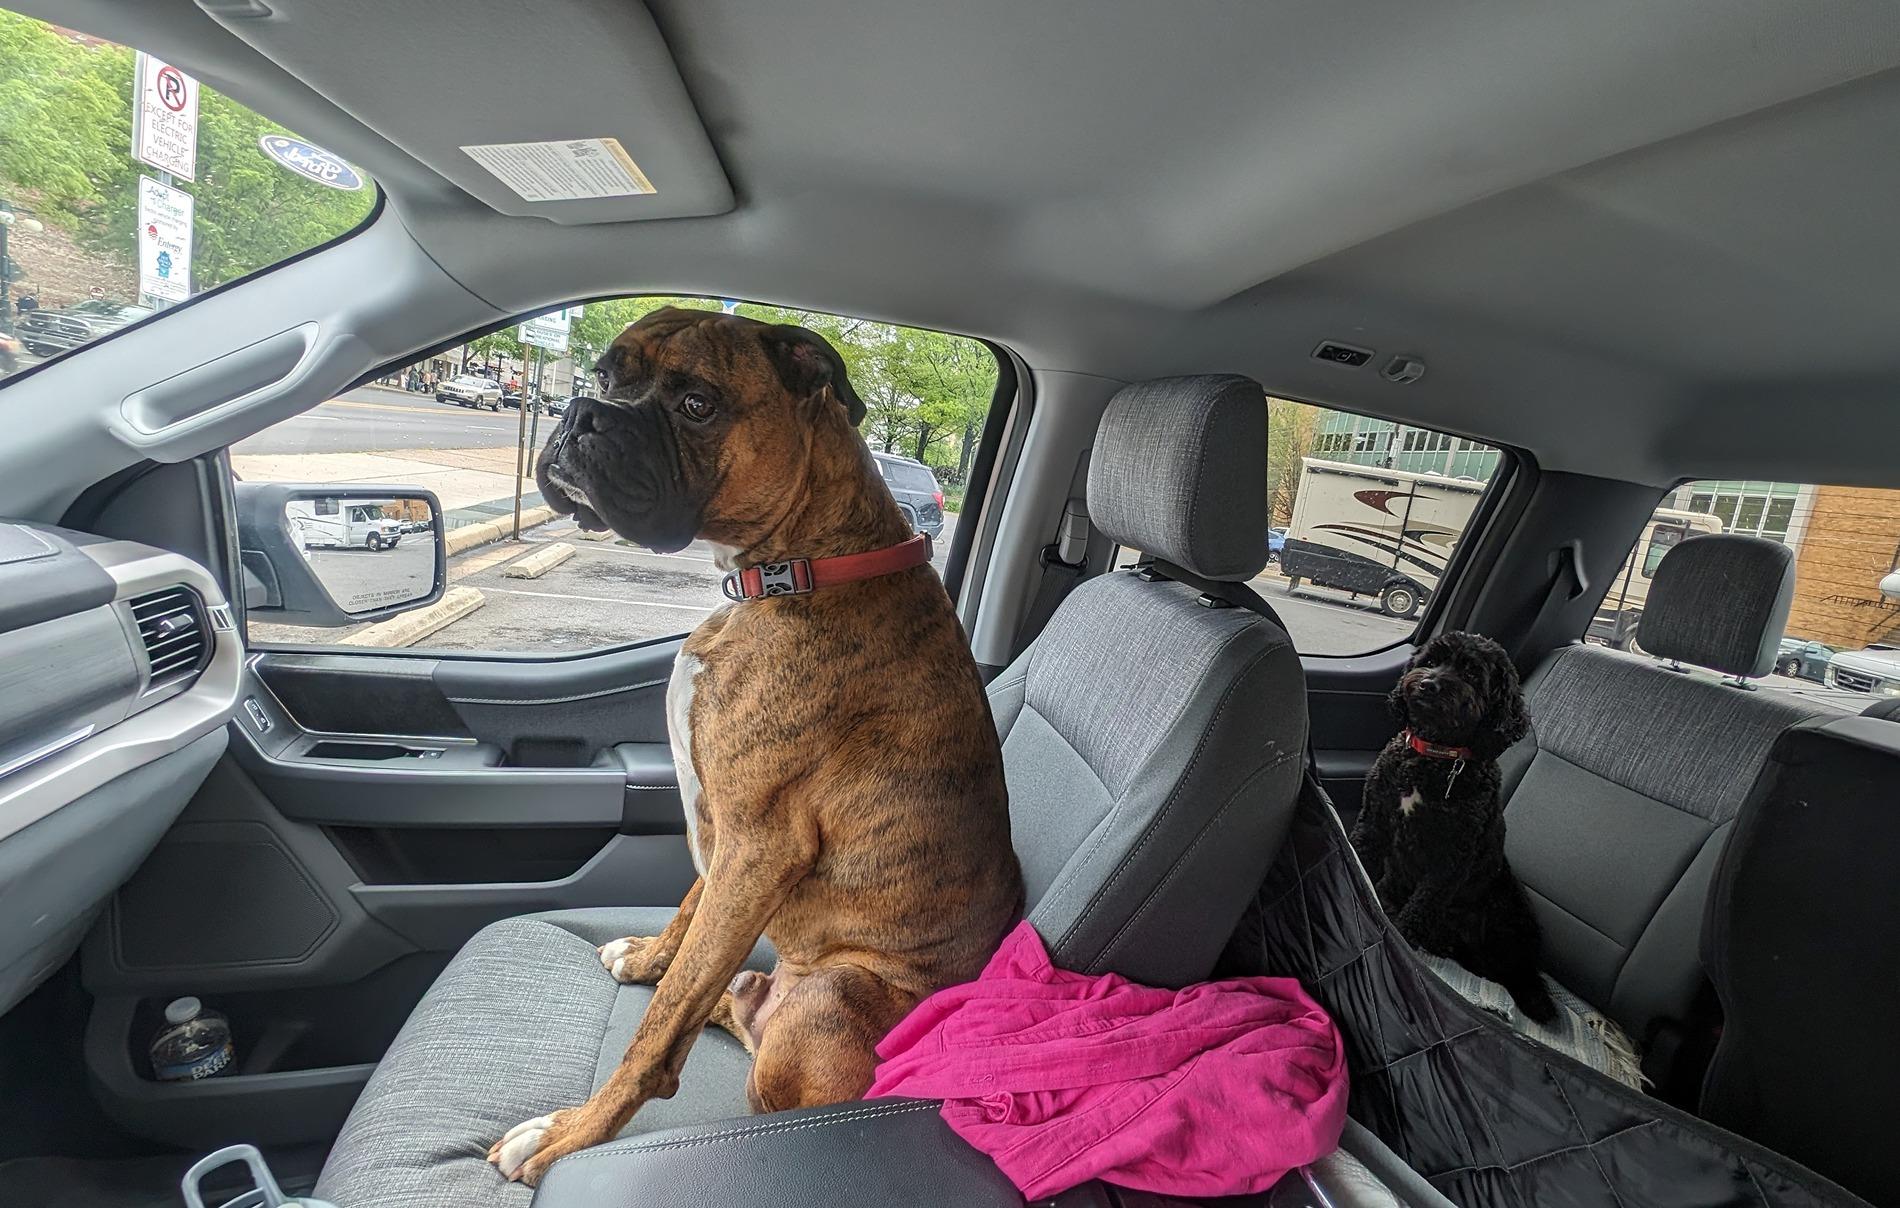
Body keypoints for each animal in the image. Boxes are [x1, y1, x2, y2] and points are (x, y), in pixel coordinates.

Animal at [490, 305, 1026, 1185]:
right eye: (605, 375)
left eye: (697, 404)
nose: (578, 413)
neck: (801, 566)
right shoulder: (724, 836)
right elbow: (688, 920)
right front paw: (650, 957)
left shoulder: (757, 844)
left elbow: (658, 1028)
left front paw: (571, 1135)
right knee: (733, 1007)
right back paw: (731, 998)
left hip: (831, 992)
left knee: (766, 1085)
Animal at [1345, 630, 1550, 1018]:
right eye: (1430, 661)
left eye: (1471, 674)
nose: (1428, 684)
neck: (1434, 757)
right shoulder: (1375, 818)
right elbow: (1361, 854)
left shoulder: (1451, 858)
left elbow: (1424, 903)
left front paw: (1402, 937)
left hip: (1508, 908)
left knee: (1505, 966)